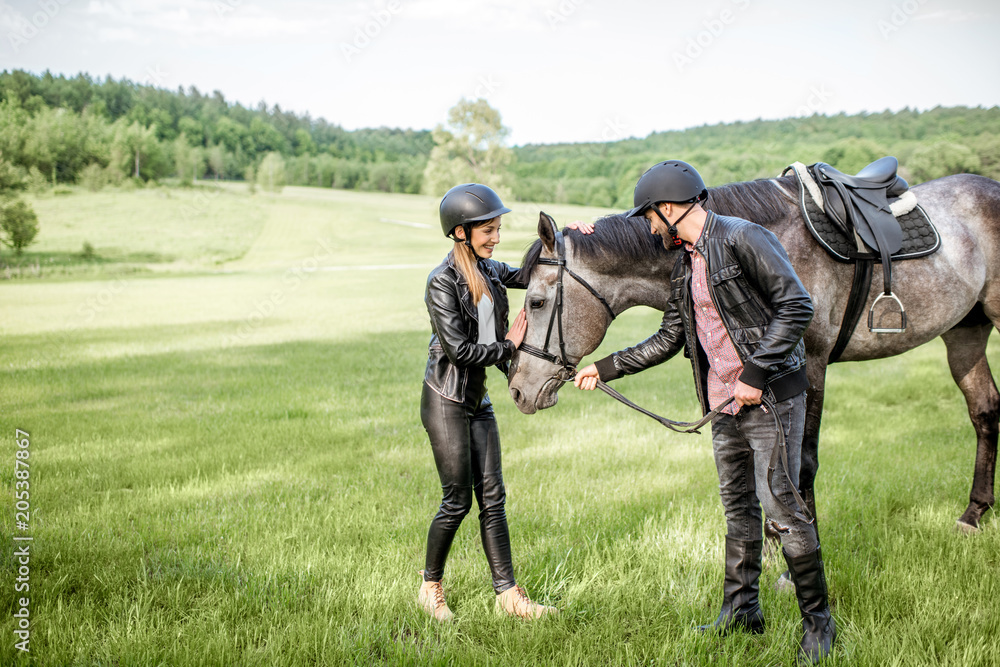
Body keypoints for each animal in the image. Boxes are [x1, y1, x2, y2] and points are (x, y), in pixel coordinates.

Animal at [508, 172, 1000, 532]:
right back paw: (973, 514)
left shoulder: (810, 364)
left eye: (536, 302)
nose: (516, 390)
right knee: (984, 410)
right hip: (965, 331)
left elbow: (798, 465)